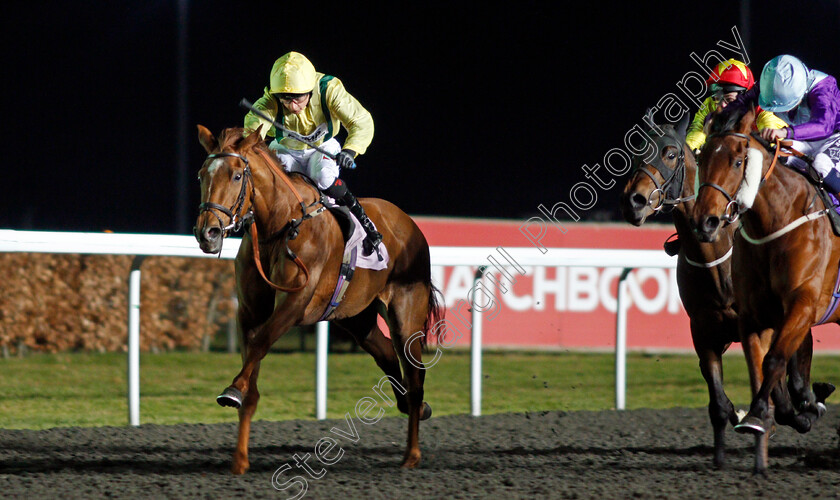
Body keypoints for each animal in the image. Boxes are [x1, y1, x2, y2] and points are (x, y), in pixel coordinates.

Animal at [194, 124, 442, 472]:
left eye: (236, 175)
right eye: (202, 175)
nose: (208, 233)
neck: (280, 227)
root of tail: (409, 223)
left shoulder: (296, 303)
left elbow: (260, 344)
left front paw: (232, 390)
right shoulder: (249, 310)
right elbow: (252, 371)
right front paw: (240, 458)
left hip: (406, 310)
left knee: (414, 374)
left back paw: (412, 453)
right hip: (358, 318)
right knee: (388, 357)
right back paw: (412, 408)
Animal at [620, 118, 816, 468]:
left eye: (670, 154)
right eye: (634, 151)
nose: (634, 202)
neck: (714, 258)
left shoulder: (762, 324)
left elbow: (770, 381)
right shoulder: (703, 331)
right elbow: (718, 402)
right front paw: (721, 455)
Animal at [688, 107, 832, 474]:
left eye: (738, 161)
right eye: (702, 157)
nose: (705, 222)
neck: (776, 224)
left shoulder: (803, 305)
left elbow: (775, 360)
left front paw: (759, 415)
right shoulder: (753, 316)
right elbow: (766, 366)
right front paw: (793, 411)